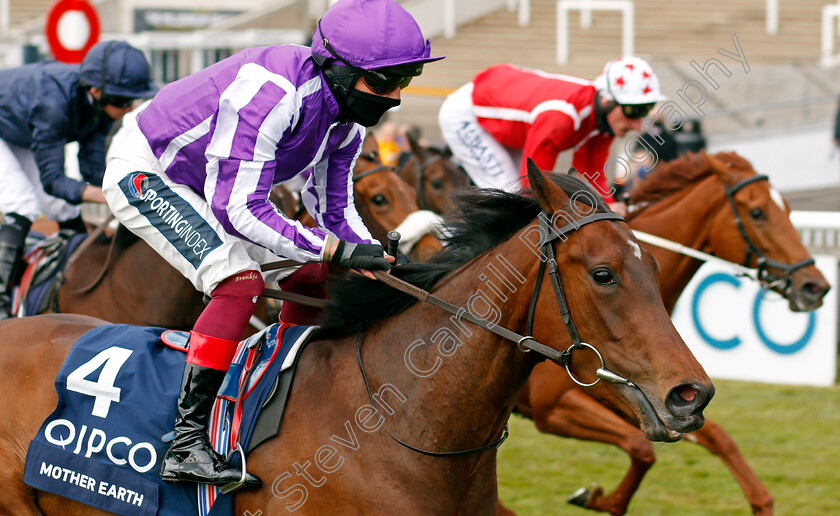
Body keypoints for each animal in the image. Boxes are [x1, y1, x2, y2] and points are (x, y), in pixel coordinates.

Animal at [508, 151, 832, 516]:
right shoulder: (552, 407)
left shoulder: (654, 399)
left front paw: (761, 502)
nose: (815, 286)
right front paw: (597, 498)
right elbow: (641, 447)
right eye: (758, 212)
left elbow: (715, 436)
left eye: (788, 210)